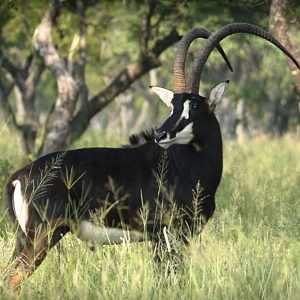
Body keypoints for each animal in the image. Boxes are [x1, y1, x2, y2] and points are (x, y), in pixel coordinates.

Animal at [2, 22, 300, 290]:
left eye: (194, 105)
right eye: (172, 105)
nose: (160, 133)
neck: (185, 169)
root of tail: (17, 177)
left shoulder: (182, 235)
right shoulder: (165, 234)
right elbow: (167, 281)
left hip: (23, 238)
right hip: (42, 235)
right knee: (14, 280)